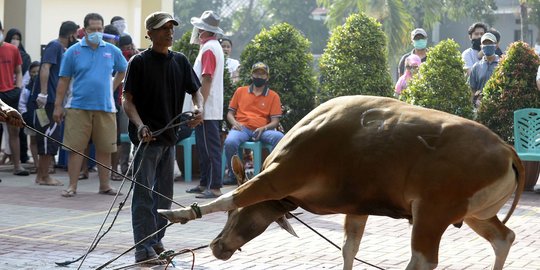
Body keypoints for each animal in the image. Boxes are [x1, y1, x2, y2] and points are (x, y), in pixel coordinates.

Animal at [159, 95, 524, 270]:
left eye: (236, 219)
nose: (217, 246)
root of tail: (507, 151)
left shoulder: (277, 178)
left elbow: (230, 196)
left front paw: (177, 213)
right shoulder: (357, 209)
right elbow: (349, 249)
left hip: (432, 212)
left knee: (425, 260)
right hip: (473, 214)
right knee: (504, 238)